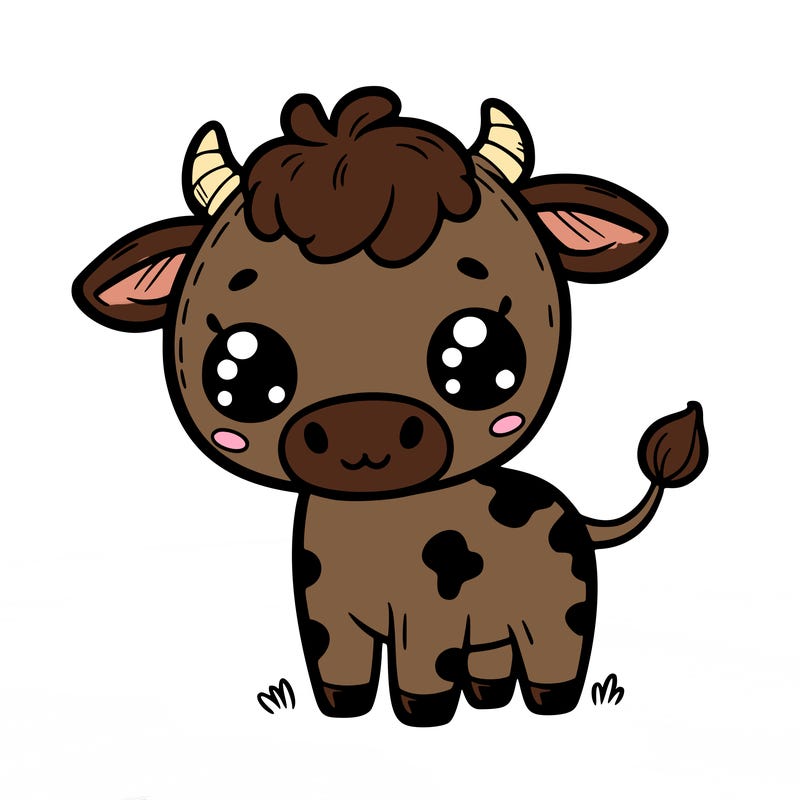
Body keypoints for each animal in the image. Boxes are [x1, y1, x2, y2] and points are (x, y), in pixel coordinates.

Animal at [73, 88, 707, 727]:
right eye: (240, 366)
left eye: (480, 353)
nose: (361, 433)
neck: (372, 522)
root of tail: (575, 514)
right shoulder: (324, 613)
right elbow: (339, 670)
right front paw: (343, 711)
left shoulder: (429, 618)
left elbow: (423, 670)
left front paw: (422, 715)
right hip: (498, 628)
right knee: (492, 659)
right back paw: (489, 698)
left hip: (557, 610)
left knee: (555, 657)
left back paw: (550, 704)